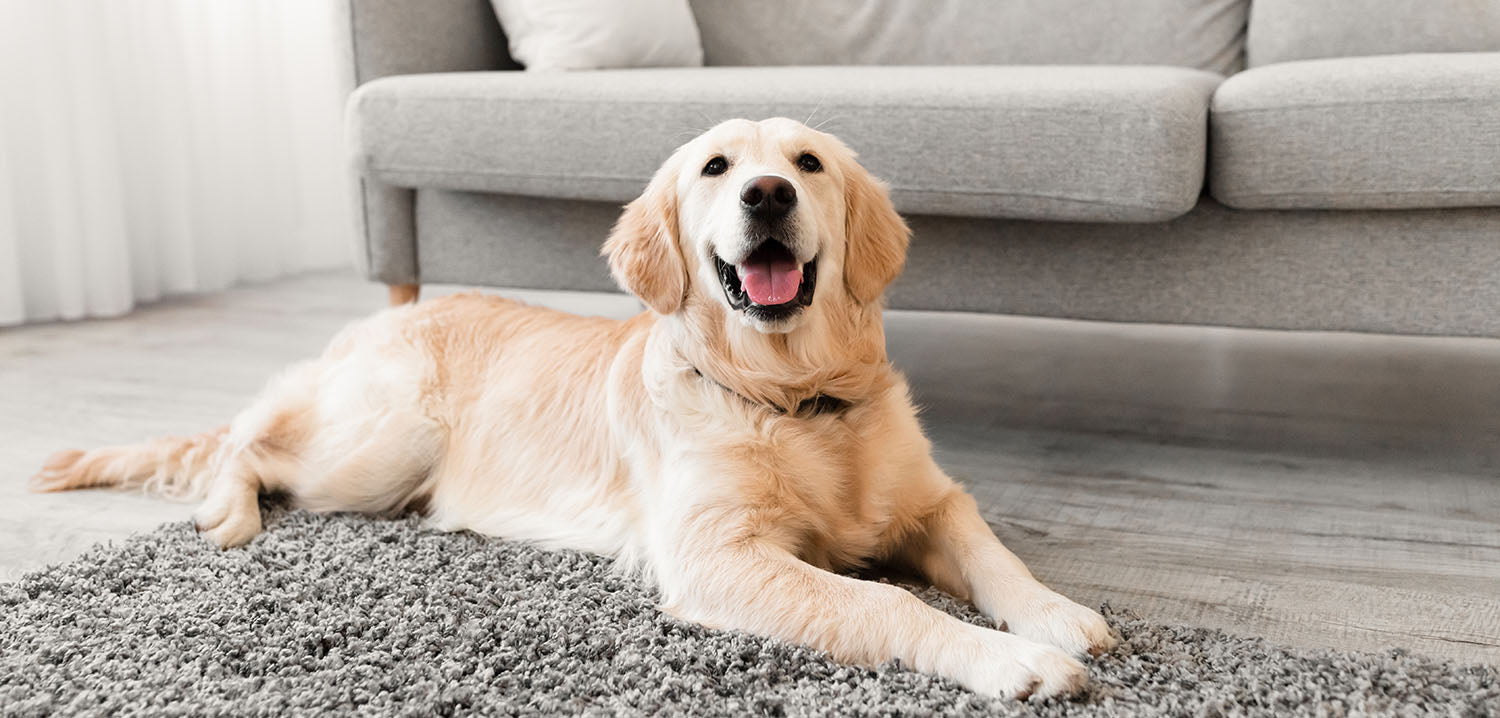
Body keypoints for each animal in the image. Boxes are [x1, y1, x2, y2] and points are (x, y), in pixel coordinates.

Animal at [32, 119, 1116, 701]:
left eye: (807, 163)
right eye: (716, 169)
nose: (767, 194)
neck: (792, 396)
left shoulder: (932, 502)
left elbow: (992, 554)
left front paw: (1057, 615)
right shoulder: (717, 555)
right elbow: (882, 601)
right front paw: (1011, 660)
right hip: (381, 444)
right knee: (249, 443)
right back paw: (227, 514)